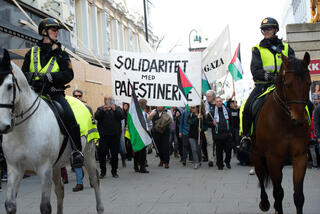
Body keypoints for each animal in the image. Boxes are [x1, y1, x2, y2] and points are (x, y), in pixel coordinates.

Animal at [0, 50, 104, 214]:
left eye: (10, 86)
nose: (3, 125)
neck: (24, 128)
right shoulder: (15, 169)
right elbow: (10, 205)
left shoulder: (44, 169)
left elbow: (45, 207)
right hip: (56, 165)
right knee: (60, 190)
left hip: (88, 154)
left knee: (95, 181)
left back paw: (100, 208)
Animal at [252, 52, 310, 214]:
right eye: (288, 84)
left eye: (309, 83)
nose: (299, 120)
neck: (287, 123)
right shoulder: (273, 158)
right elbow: (278, 193)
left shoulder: (300, 156)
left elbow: (298, 196)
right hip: (257, 154)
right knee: (260, 176)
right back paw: (264, 203)